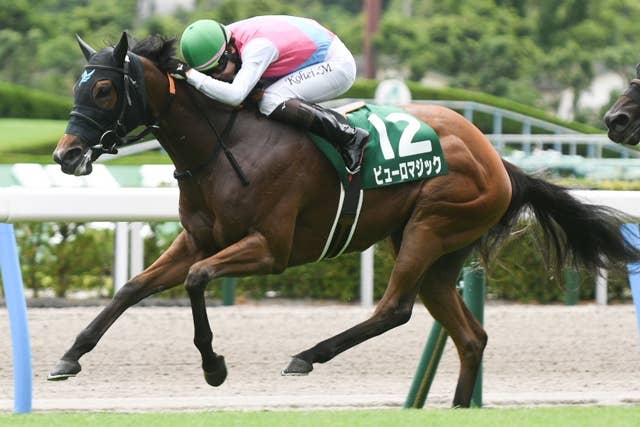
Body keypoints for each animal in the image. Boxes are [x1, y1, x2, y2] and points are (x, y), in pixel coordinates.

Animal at [50, 32, 640, 408]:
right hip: (440, 251)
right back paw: (455, 406)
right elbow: (132, 287)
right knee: (471, 337)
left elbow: (196, 281)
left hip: (430, 226)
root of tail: (496, 158)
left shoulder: (269, 249)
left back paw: (307, 355)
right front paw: (69, 357)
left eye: (103, 88)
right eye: (76, 86)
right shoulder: (198, 239)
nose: (65, 155)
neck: (224, 145)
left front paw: (214, 366)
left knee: (394, 309)